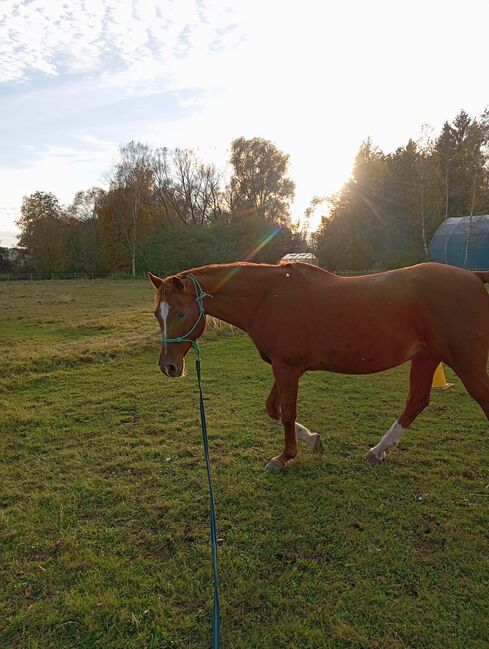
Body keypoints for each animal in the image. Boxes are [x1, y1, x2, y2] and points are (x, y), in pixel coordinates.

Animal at [148, 260, 488, 468]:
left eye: (180, 313)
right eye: (156, 314)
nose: (169, 367)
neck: (268, 297)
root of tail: (473, 276)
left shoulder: (286, 368)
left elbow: (286, 414)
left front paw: (284, 457)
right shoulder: (283, 367)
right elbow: (274, 410)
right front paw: (313, 441)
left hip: (466, 363)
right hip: (426, 357)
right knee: (416, 401)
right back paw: (377, 450)